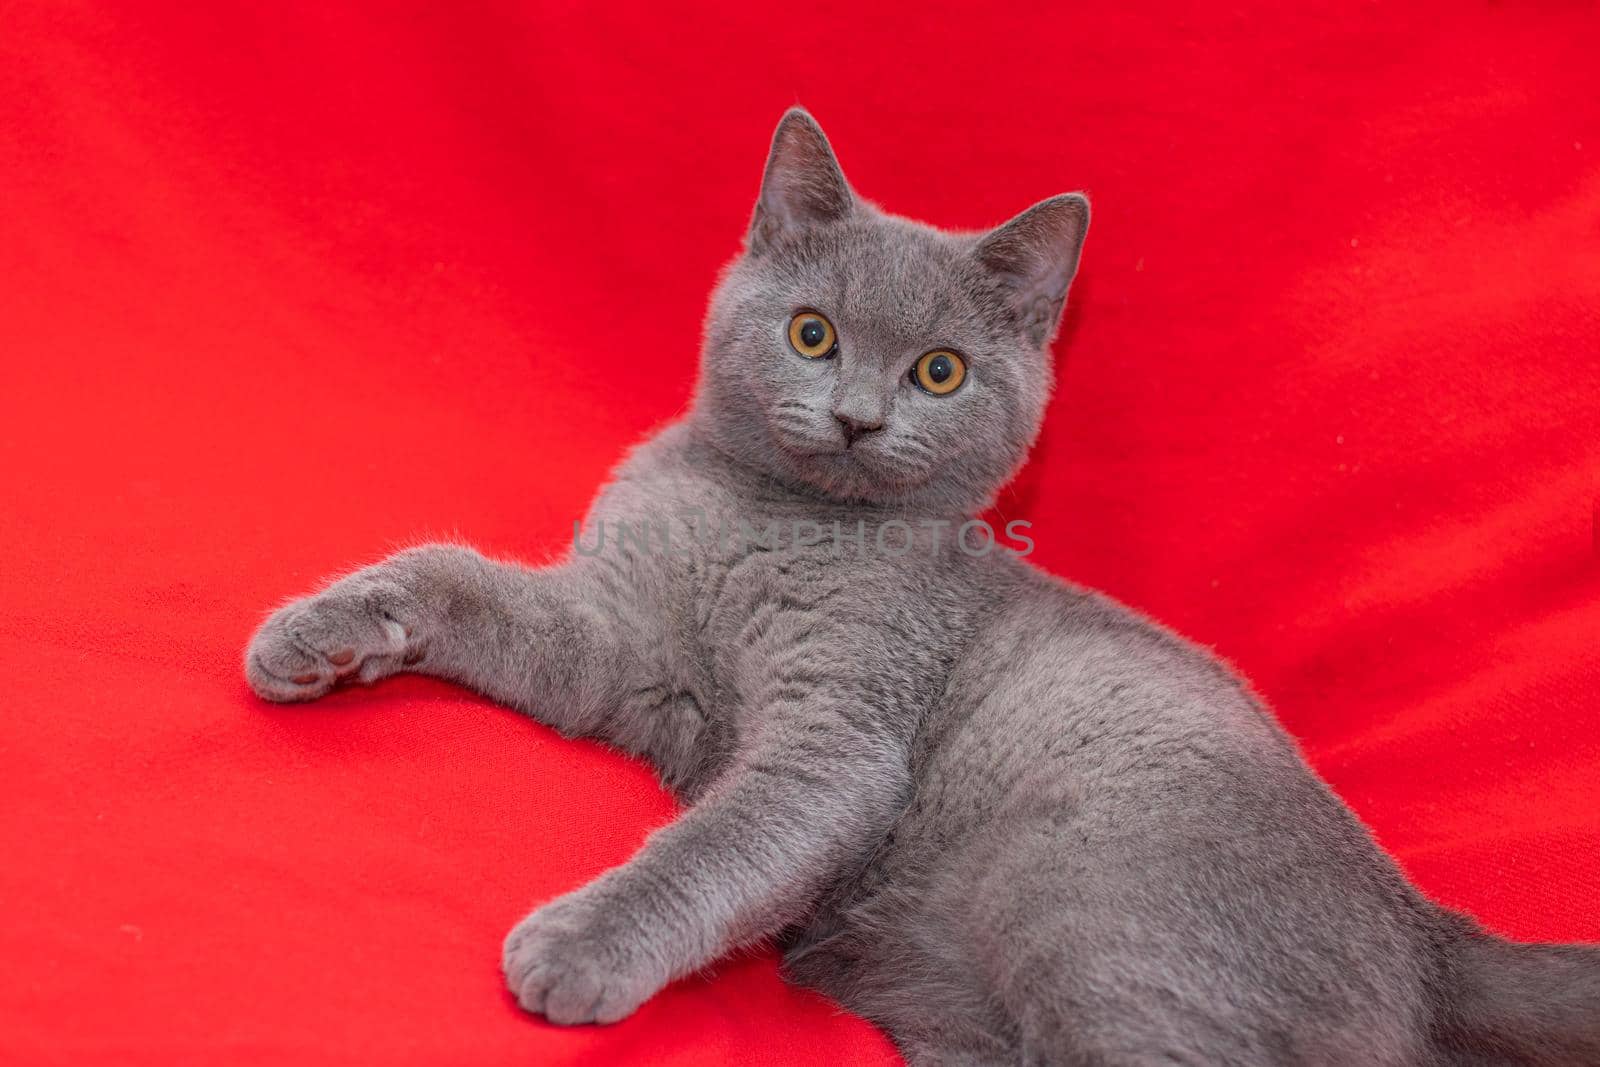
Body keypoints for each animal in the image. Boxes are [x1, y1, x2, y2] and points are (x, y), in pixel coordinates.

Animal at [246, 110, 1600, 1067]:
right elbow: (457, 578)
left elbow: (722, 838)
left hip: (1101, 914)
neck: (762, 522)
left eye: (939, 370)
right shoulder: (616, 635)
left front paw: (582, 942)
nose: (856, 417)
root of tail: (1426, 930)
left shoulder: (843, 734)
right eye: (810, 333)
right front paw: (323, 636)